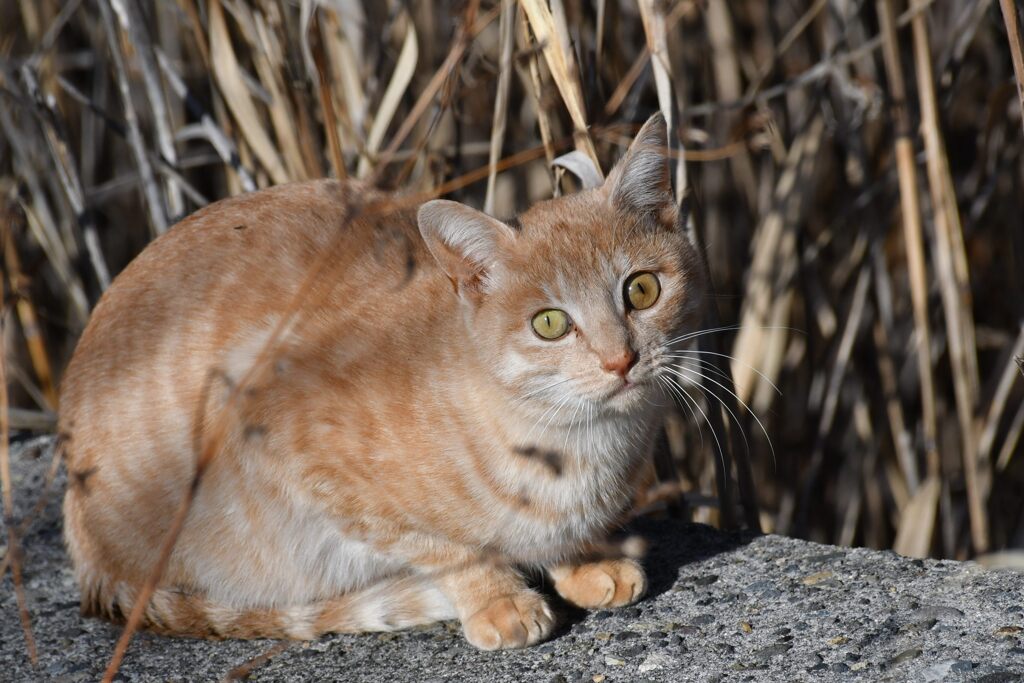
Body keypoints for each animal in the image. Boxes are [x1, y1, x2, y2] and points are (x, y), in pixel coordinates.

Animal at [59, 113, 708, 651]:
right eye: (550, 324)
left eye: (642, 290)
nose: (620, 360)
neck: (575, 443)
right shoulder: (297, 446)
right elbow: (444, 548)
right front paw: (497, 598)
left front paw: (586, 561)